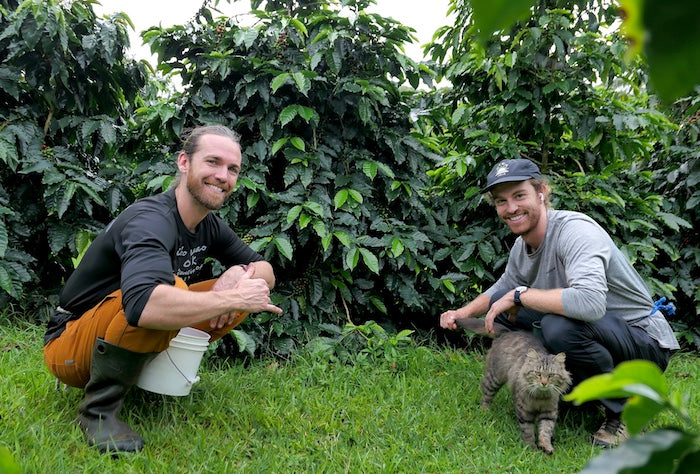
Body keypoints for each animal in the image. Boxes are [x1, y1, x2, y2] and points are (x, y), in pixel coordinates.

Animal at [456, 318, 572, 456]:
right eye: (538, 374)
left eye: (551, 375)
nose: (544, 383)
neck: (540, 397)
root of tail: (508, 332)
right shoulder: (524, 411)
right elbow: (528, 431)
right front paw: (531, 449)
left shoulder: (549, 411)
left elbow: (545, 430)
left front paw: (546, 446)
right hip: (494, 378)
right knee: (486, 392)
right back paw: (485, 411)